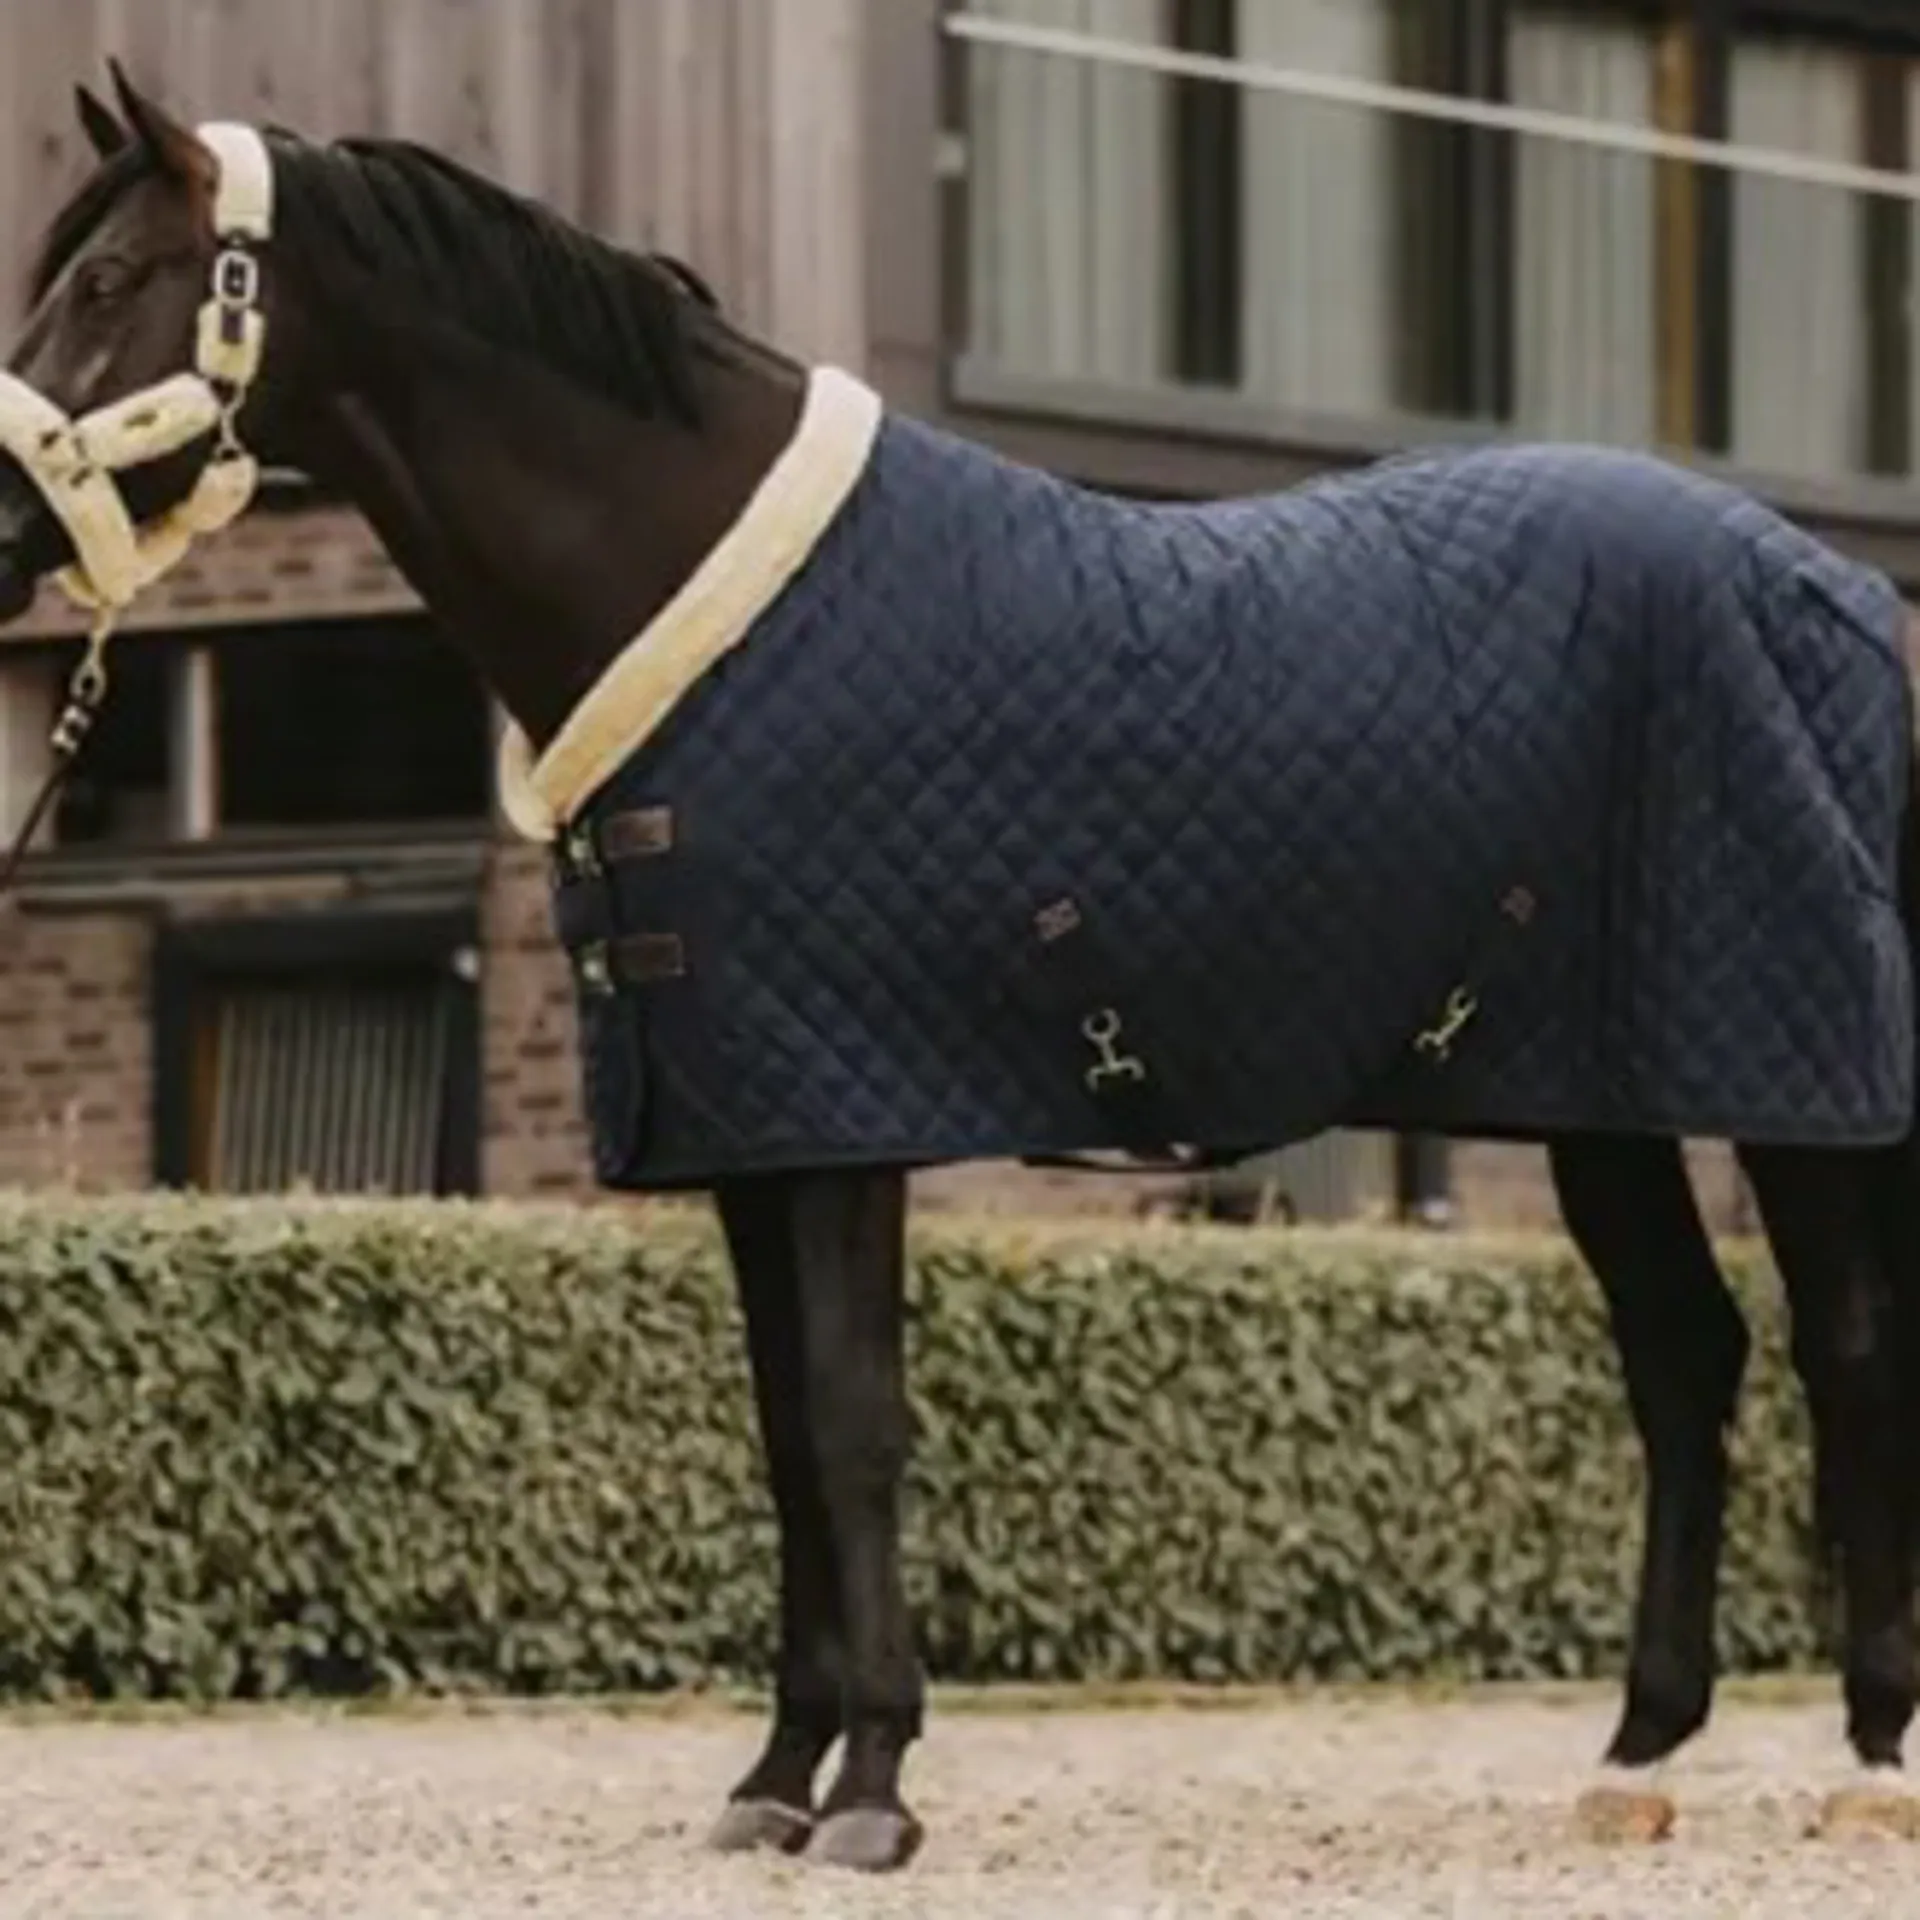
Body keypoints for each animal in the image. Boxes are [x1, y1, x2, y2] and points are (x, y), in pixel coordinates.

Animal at [0, 65, 1916, 1874]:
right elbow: (784, 1439)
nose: (5, 529)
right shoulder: (749, 1131)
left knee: (1846, 1353)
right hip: (1608, 1089)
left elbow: (854, 1429)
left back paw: (1869, 1766)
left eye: (108, 278)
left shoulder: (847, 1124)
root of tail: (1835, 595)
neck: (705, 590)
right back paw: (1637, 1759)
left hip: (1793, 1083)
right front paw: (772, 1784)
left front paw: (871, 1790)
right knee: (1685, 1359)